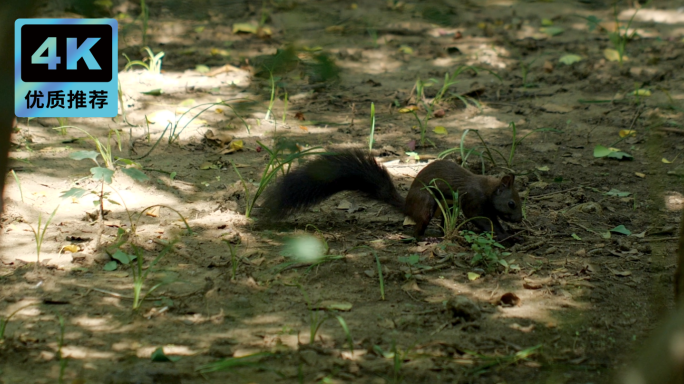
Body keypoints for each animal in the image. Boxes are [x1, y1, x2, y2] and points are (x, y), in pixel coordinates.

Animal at [264, 149, 524, 242]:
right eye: (512, 203)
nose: (520, 219)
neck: (488, 189)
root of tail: (408, 206)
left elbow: (493, 220)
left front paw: (510, 233)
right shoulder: (473, 200)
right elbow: (482, 220)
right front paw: (506, 237)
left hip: (445, 206)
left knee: (441, 224)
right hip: (428, 203)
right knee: (418, 229)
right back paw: (426, 239)